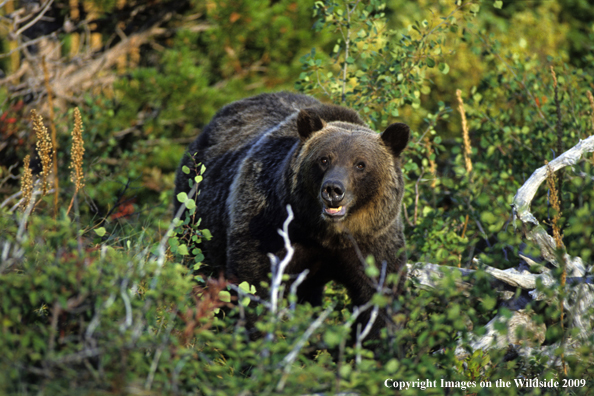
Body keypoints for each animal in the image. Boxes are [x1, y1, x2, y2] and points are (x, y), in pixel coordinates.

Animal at [173, 91, 410, 338]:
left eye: (361, 164)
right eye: (324, 159)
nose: (333, 190)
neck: (326, 233)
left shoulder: (373, 240)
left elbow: (380, 296)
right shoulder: (269, 226)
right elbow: (256, 282)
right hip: (195, 211)